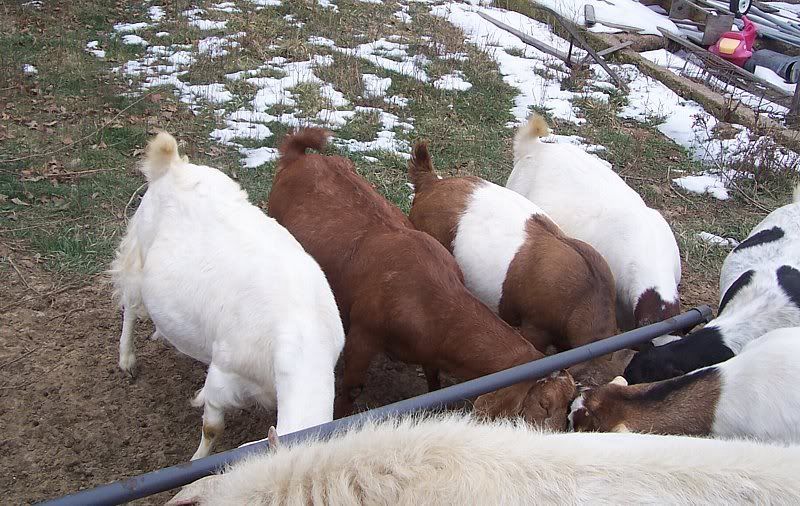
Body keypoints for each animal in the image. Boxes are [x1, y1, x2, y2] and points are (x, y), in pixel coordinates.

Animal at [109, 132, 345, 459]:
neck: (302, 326)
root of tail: (173, 166)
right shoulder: (223, 376)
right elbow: (212, 427)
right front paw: (196, 460)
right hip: (138, 256)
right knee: (130, 307)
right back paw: (127, 359)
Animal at [267, 128, 575, 430]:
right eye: (544, 405)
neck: (433, 302)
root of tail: (300, 157)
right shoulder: (364, 333)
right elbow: (353, 387)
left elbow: (434, 378)